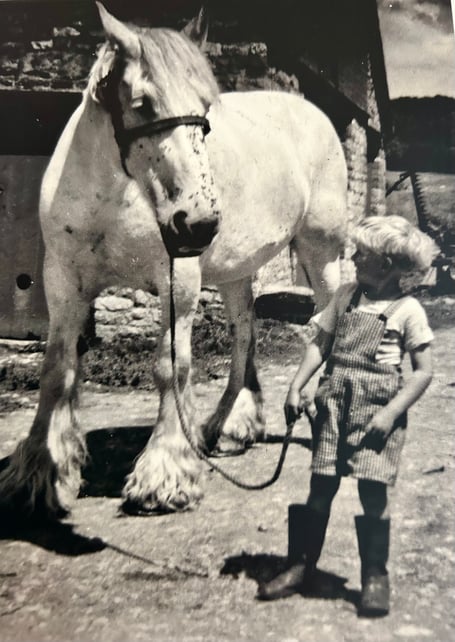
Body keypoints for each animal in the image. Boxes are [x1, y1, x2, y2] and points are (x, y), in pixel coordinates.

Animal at [0, 4, 347, 519]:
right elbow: (57, 369)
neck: (117, 193)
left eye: (205, 106)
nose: (198, 223)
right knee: (244, 333)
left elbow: (170, 368)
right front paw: (43, 472)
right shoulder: (63, 282)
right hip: (237, 271)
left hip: (321, 251)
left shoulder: (177, 284)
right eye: (142, 103)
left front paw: (163, 474)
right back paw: (230, 425)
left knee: (324, 320)